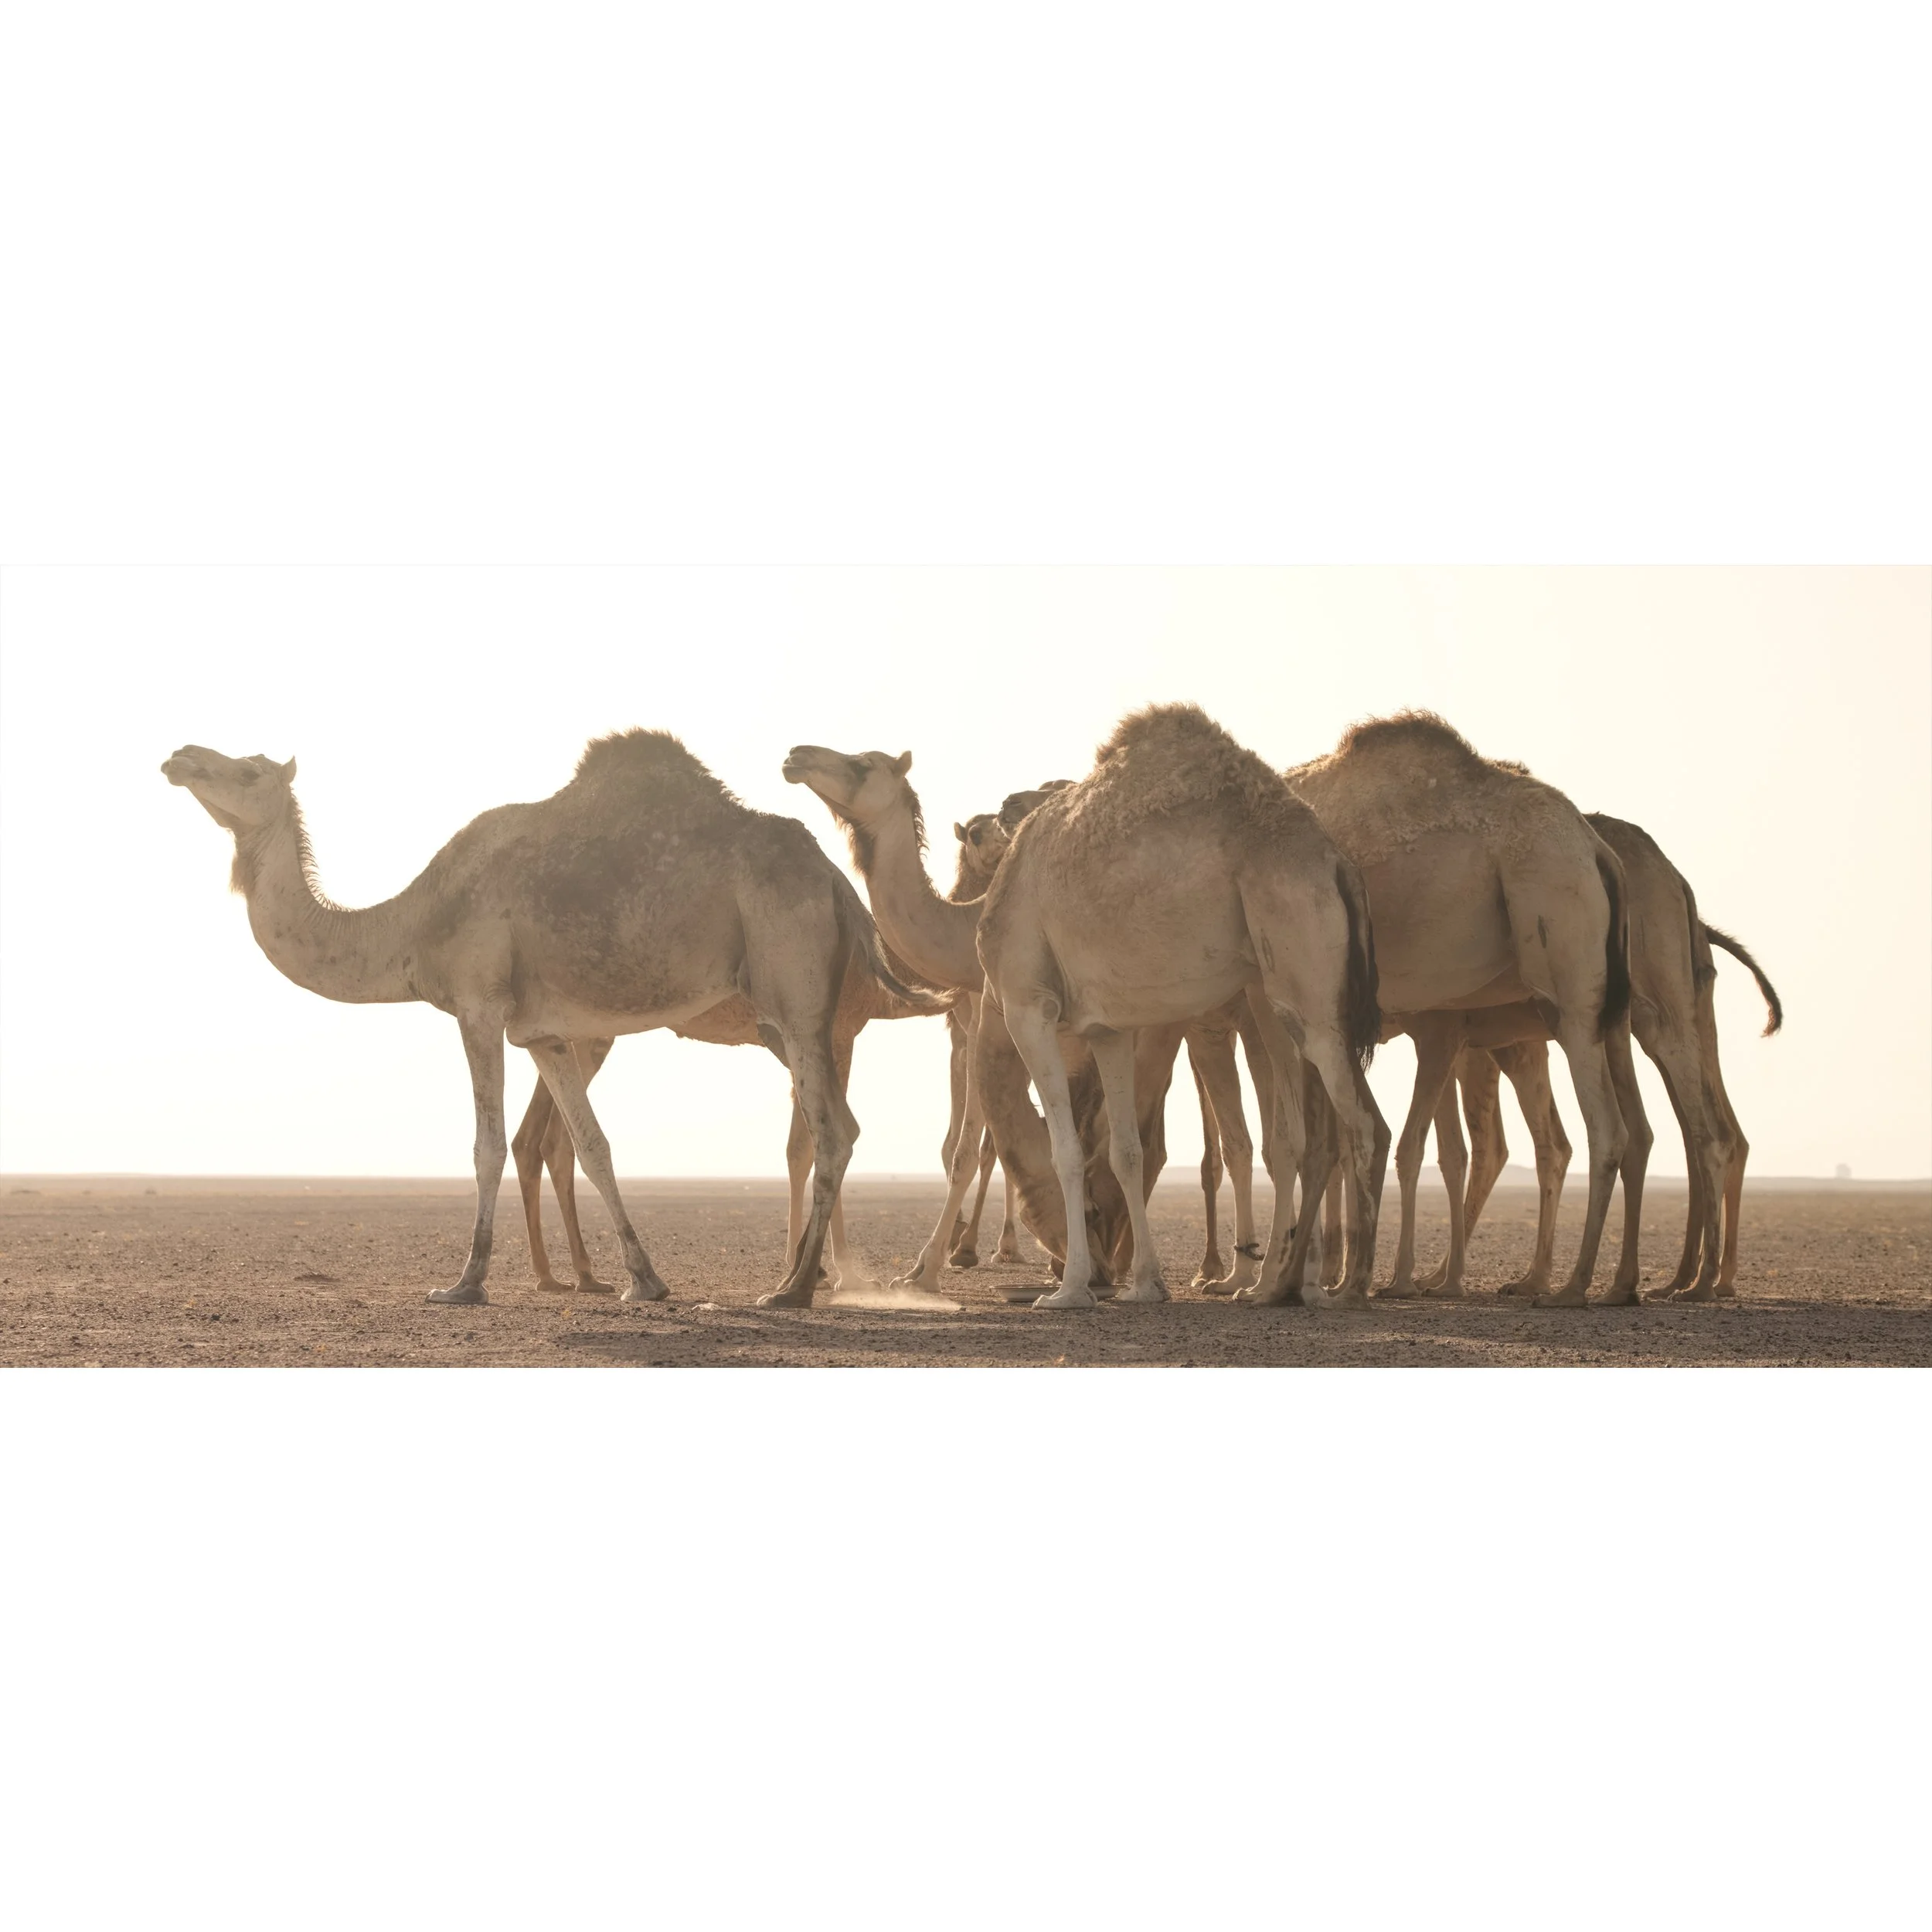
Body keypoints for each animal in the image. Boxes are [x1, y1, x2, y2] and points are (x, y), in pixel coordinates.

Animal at [163, 731, 940, 1309]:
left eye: (248, 768)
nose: (181, 756)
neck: (414, 923)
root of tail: (837, 881)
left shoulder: (478, 1006)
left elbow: (488, 1145)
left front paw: (466, 1282)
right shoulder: (544, 1033)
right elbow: (591, 1145)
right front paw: (643, 1280)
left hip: (795, 993)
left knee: (830, 1130)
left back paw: (794, 1289)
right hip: (788, 1019)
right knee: (835, 1126)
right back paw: (795, 1280)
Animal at [976, 704, 1387, 1310]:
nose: (997, 810)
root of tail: (1337, 862)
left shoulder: (1028, 1005)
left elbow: (1066, 1151)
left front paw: (1069, 1291)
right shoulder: (1107, 1029)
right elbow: (1125, 1151)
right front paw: (1146, 1284)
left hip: (1301, 969)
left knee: (1361, 1127)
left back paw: (1344, 1285)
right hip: (1282, 991)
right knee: (1310, 1132)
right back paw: (1277, 1283)